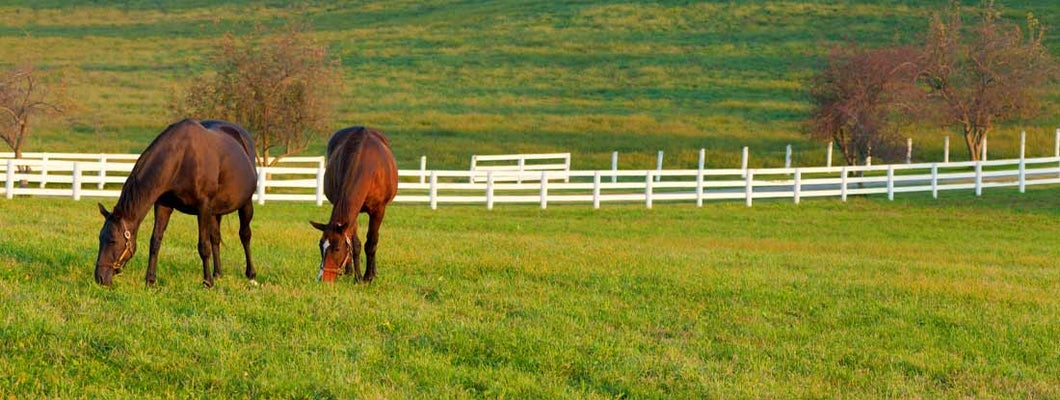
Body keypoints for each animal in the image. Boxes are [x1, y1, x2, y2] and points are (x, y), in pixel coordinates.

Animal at [94, 118, 258, 287]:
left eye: (113, 241)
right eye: (100, 238)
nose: (99, 278)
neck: (181, 159)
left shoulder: (203, 207)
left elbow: (203, 246)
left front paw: (207, 282)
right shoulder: (163, 206)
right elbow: (155, 241)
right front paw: (150, 280)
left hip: (246, 204)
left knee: (245, 235)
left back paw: (251, 274)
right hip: (215, 212)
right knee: (216, 238)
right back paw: (218, 274)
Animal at [310, 126, 398, 283]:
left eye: (337, 248)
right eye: (320, 246)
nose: (323, 278)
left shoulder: (378, 210)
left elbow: (371, 242)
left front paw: (368, 277)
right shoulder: (353, 213)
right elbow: (354, 244)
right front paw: (358, 277)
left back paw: (373, 272)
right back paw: (349, 271)